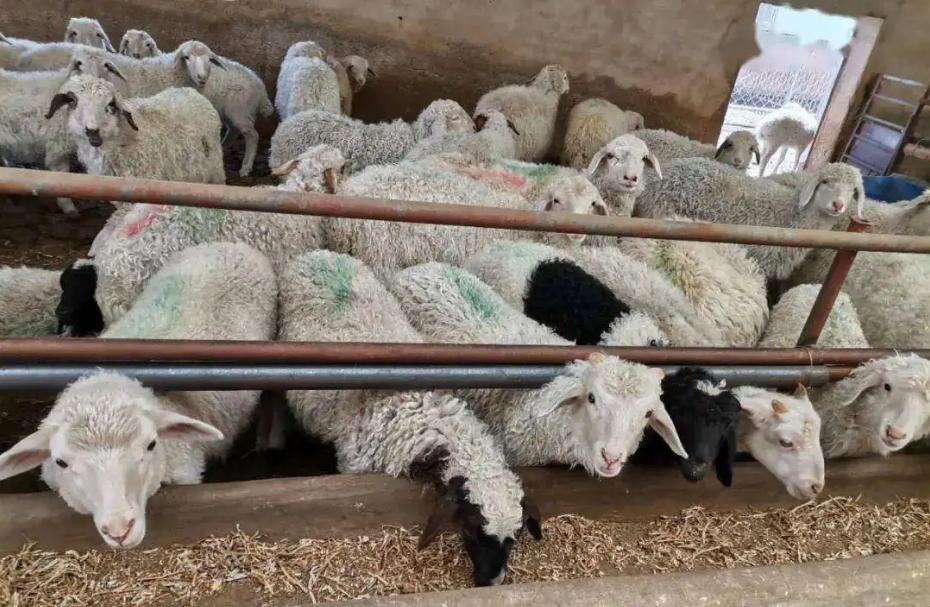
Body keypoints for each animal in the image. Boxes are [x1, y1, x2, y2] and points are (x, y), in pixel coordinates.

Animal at [279, 250, 539, 586]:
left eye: (514, 539)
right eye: (469, 531)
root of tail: (319, 254)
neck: (423, 415)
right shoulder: (355, 462)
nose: (490, 581)